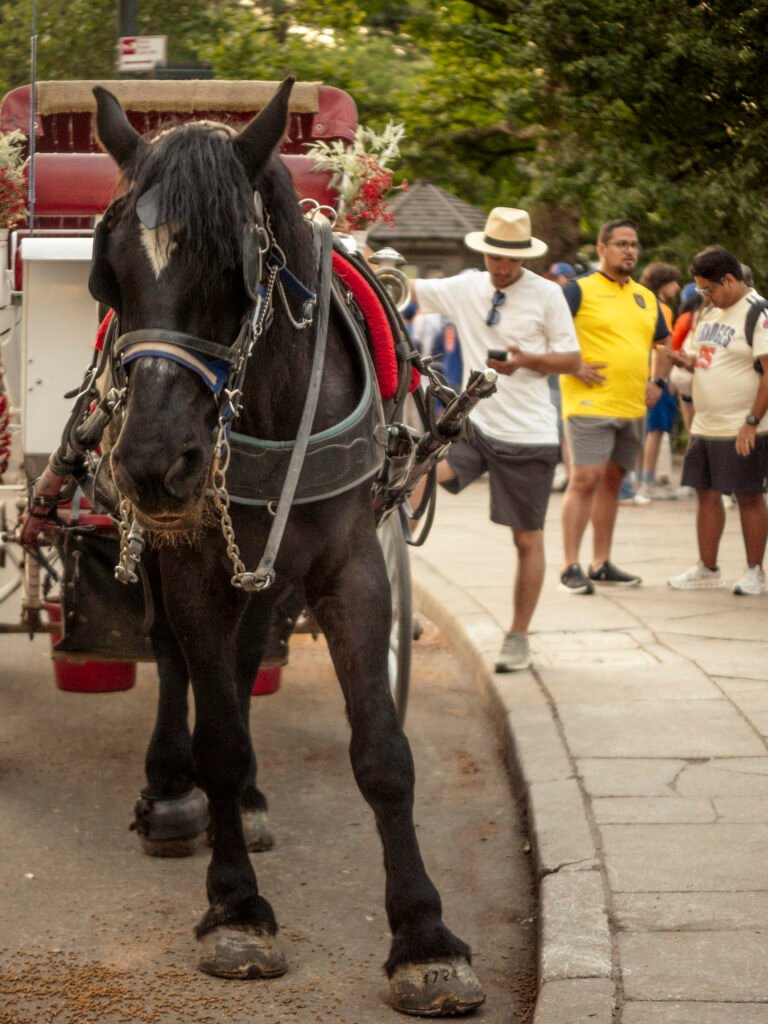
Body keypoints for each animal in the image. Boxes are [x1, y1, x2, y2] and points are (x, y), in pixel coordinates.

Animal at [88, 78, 485, 1016]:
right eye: (109, 272)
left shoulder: (351, 567)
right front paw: (236, 910)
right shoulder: (194, 566)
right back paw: (173, 794)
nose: (152, 461)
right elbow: (220, 741)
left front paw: (424, 938)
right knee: (182, 668)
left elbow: (382, 751)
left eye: (236, 272)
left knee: (242, 663)